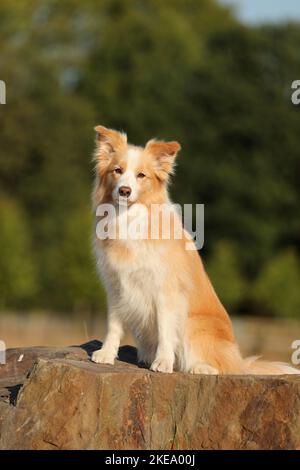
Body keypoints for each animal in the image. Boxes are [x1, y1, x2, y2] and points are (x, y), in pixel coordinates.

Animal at [91, 126, 298, 374]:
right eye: (117, 171)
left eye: (141, 175)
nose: (124, 190)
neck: (129, 219)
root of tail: (240, 361)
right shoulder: (116, 286)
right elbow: (114, 324)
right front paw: (106, 353)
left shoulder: (166, 290)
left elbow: (165, 329)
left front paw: (163, 362)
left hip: (194, 323)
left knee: (222, 367)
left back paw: (200, 368)